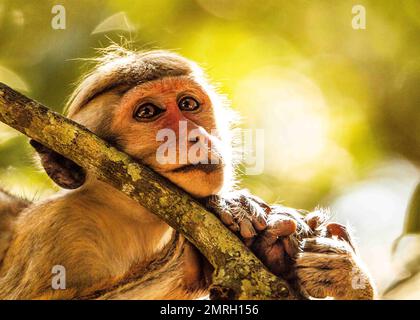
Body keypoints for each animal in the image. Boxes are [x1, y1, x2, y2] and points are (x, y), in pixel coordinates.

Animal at [0, 46, 374, 298]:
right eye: (147, 112)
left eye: (188, 105)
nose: (195, 135)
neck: (134, 222)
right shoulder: (59, 232)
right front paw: (197, 251)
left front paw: (344, 273)